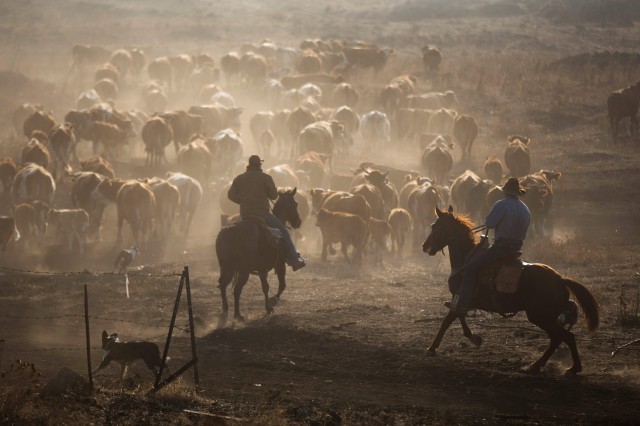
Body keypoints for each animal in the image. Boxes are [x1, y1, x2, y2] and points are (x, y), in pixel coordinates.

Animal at [215, 188, 302, 322]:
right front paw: (272, 301)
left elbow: (265, 287)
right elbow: (282, 285)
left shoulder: (262, 269)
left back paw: (225, 308)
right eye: (295, 203)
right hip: (243, 271)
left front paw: (268, 308)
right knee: (237, 290)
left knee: (223, 284)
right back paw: (238, 314)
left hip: (226, 267)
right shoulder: (280, 264)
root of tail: (230, 230)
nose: (298, 221)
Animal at [420, 206, 600, 376]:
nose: (424, 246)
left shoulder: (461, 295)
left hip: (539, 316)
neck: (466, 259)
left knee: (564, 337)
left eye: (435, 226)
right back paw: (541, 366)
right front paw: (475, 338)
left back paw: (567, 368)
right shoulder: (462, 298)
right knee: (559, 338)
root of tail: (559, 278)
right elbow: (459, 315)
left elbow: (449, 320)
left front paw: (432, 348)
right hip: (547, 316)